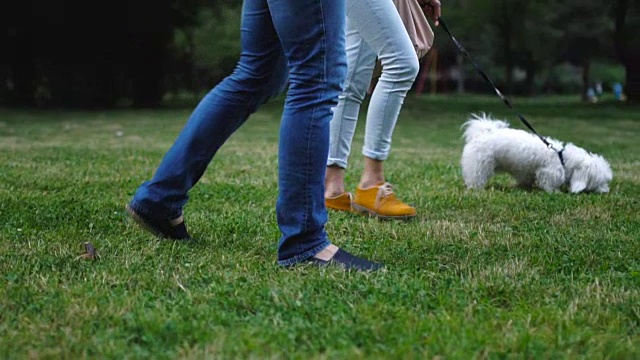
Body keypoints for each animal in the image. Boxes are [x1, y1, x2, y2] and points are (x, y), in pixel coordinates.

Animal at [458, 113, 612, 193]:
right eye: (599, 182)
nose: (606, 191)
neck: (562, 158)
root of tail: (481, 134)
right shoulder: (549, 172)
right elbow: (549, 184)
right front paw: (555, 192)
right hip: (479, 165)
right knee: (475, 177)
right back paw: (476, 189)